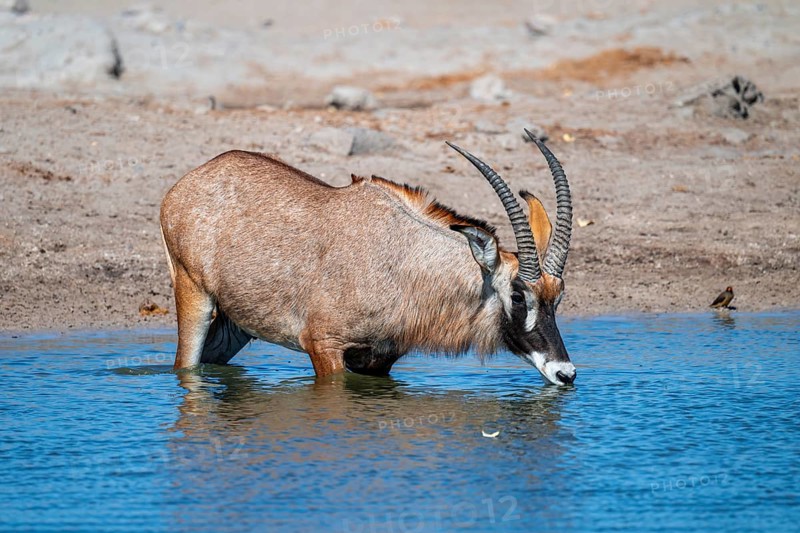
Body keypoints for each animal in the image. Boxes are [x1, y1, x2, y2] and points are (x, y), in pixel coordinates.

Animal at [160, 129, 576, 385]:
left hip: (236, 326)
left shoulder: (379, 360)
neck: (404, 261)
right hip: (193, 294)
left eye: (559, 296)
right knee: (185, 364)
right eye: (518, 294)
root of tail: (189, 183)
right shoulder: (324, 347)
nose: (566, 373)